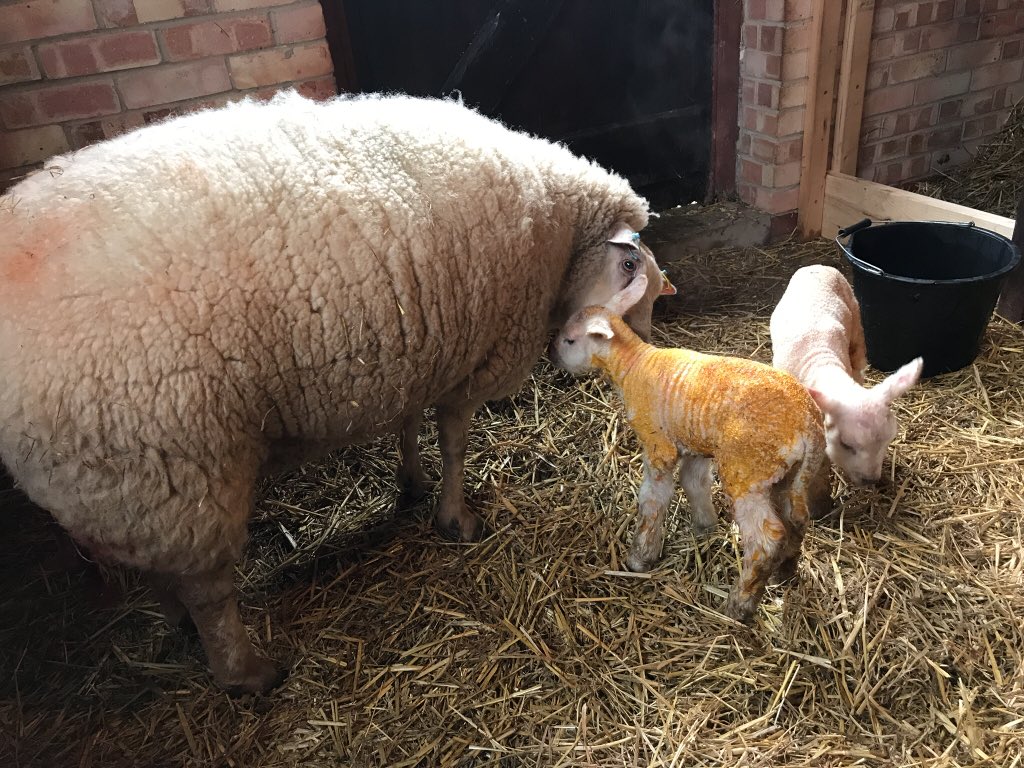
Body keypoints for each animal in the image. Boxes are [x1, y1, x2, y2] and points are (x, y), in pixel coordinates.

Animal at [0, 90, 673, 694]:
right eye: (629, 271)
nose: (646, 347)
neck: (559, 234)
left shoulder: (421, 346)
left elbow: (410, 425)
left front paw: (412, 483)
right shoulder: (470, 359)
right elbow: (455, 444)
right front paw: (455, 517)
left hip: (132, 484)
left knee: (161, 570)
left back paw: (179, 626)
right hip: (176, 460)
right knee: (208, 589)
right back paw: (247, 672)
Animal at [550, 274, 829, 622]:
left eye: (570, 341)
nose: (553, 359)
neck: (632, 365)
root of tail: (808, 424)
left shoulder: (658, 445)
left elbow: (652, 500)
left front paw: (641, 556)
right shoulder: (695, 446)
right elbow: (694, 483)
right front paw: (704, 526)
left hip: (747, 471)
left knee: (766, 539)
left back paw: (740, 603)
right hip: (789, 474)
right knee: (797, 518)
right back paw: (785, 570)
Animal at [770, 265, 923, 487]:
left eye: (888, 440)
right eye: (846, 445)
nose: (870, 481)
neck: (822, 363)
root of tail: (816, 266)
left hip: (856, 322)